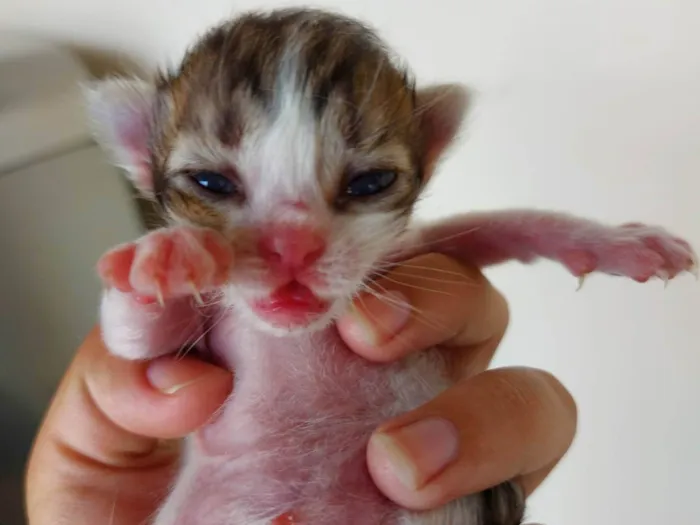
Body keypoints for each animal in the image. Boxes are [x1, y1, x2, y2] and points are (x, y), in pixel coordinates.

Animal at [85, 8, 696, 524]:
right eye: (210, 182)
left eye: (370, 182)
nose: (293, 246)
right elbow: (138, 337)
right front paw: (165, 254)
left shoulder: (413, 248)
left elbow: (506, 223)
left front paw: (617, 240)